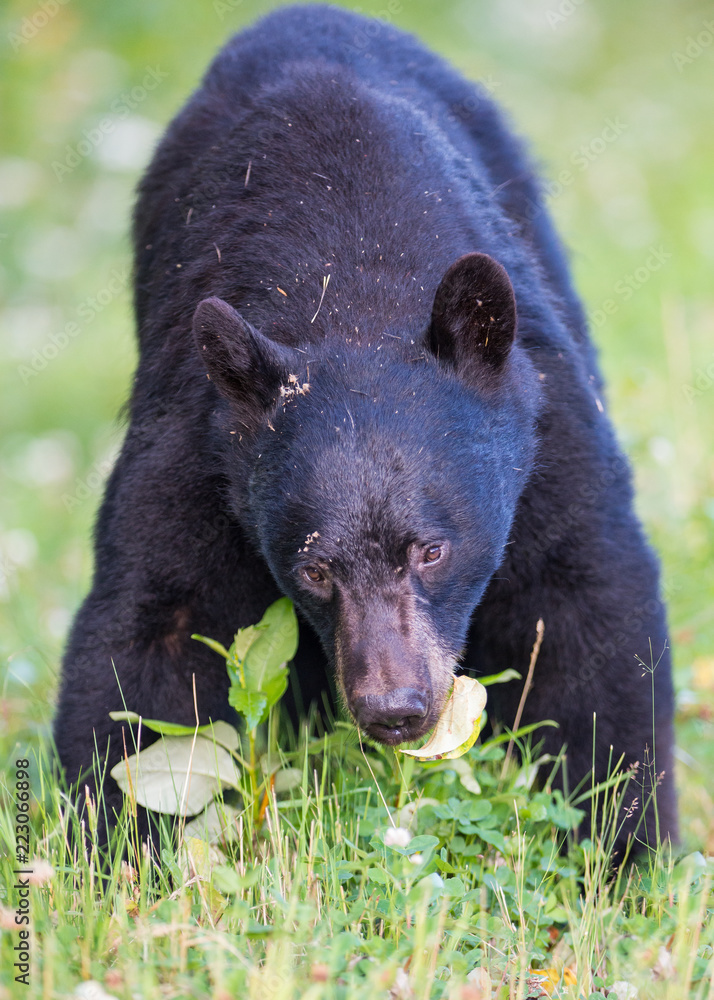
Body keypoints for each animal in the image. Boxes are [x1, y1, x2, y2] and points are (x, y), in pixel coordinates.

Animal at [54, 4, 677, 857]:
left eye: (433, 550)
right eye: (315, 569)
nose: (397, 709)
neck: (349, 285)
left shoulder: (545, 427)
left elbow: (588, 606)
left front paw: (621, 846)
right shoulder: (198, 448)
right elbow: (148, 634)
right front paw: (118, 847)